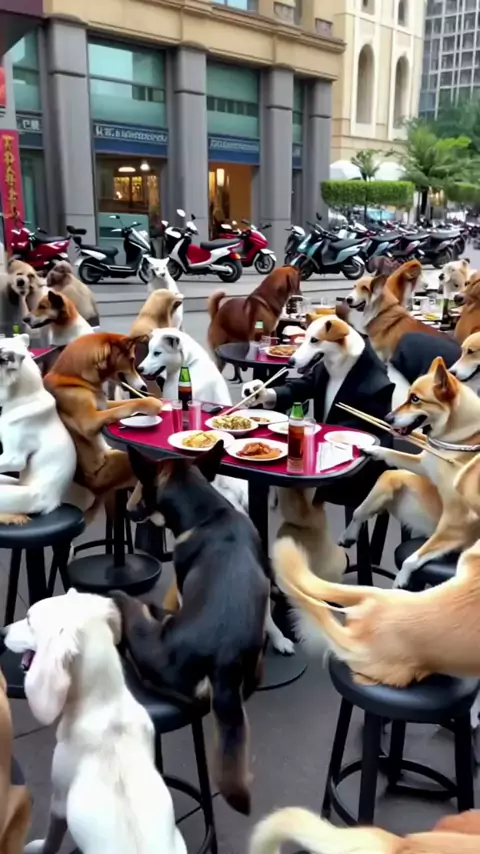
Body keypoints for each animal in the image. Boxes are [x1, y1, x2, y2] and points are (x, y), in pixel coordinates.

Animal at [44, 333, 162, 497]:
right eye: (132, 359)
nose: (144, 387)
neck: (76, 378)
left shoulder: (104, 405)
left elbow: (129, 402)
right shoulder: (89, 421)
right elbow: (131, 404)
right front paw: (152, 403)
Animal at [115, 442, 270, 815]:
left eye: (139, 484)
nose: (127, 509)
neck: (207, 512)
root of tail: (223, 660)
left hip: (135, 618)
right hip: (255, 663)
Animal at [340, 357, 480, 589]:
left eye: (415, 399)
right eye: (408, 396)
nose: (387, 417)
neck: (463, 439)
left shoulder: (457, 522)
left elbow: (412, 558)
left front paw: (401, 580)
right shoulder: (424, 465)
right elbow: (390, 454)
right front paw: (372, 449)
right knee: (383, 482)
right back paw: (350, 533)